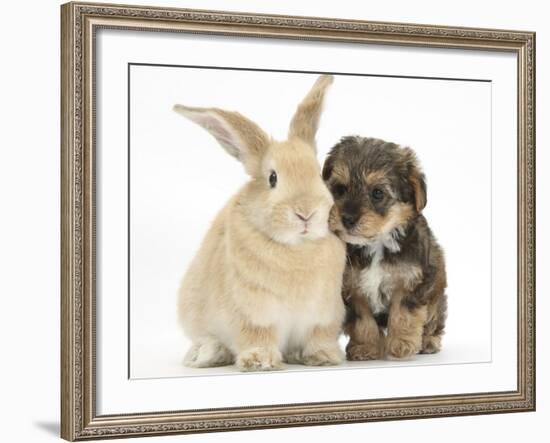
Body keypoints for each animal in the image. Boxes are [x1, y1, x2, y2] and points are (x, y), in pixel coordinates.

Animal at [175, 75, 348, 372]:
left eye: (318, 174)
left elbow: (319, 336)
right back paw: (207, 354)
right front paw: (260, 361)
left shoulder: (324, 314)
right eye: (272, 178)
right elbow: (257, 335)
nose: (306, 213)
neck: (297, 248)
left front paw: (323, 357)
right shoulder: (253, 313)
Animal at [324, 136, 448, 360]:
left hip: (436, 293)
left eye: (377, 193)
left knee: (434, 320)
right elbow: (362, 319)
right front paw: (366, 347)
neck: (376, 243)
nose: (347, 219)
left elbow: (404, 312)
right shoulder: (352, 287)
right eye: (340, 189)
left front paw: (402, 343)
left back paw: (428, 342)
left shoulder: (412, 280)